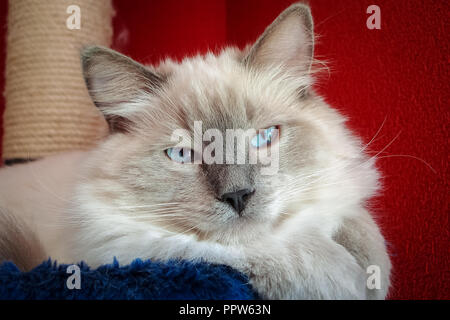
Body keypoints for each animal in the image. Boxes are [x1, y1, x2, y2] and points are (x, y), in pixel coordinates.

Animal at [0, 2, 390, 298]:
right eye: (182, 155)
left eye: (263, 138)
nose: (238, 196)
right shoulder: (125, 247)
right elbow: (264, 248)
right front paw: (347, 280)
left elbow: (356, 219)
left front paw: (375, 275)